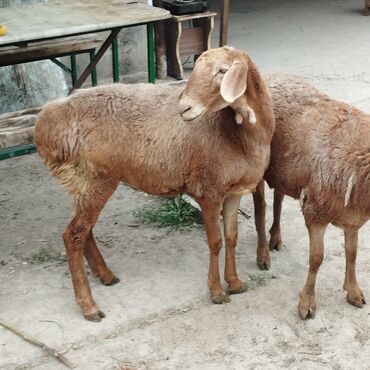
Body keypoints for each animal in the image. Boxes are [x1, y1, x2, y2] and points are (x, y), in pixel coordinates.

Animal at [34, 47, 276, 320]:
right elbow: (215, 243)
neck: (240, 136)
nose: (184, 107)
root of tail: (47, 124)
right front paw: (216, 291)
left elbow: (231, 237)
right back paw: (89, 306)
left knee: (84, 231)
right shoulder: (208, 190)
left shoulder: (234, 191)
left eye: (222, 71)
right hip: (93, 179)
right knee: (73, 235)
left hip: (83, 184)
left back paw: (106, 275)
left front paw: (234, 283)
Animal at [251, 73, 370, 320]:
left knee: (278, 198)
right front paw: (307, 303)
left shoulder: (352, 216)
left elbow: (352, 253)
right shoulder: (315, 210)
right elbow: (316, 258)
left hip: (284, 171)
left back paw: (276, 237)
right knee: (260, 207)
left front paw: (354, 291)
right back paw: (263, 254)